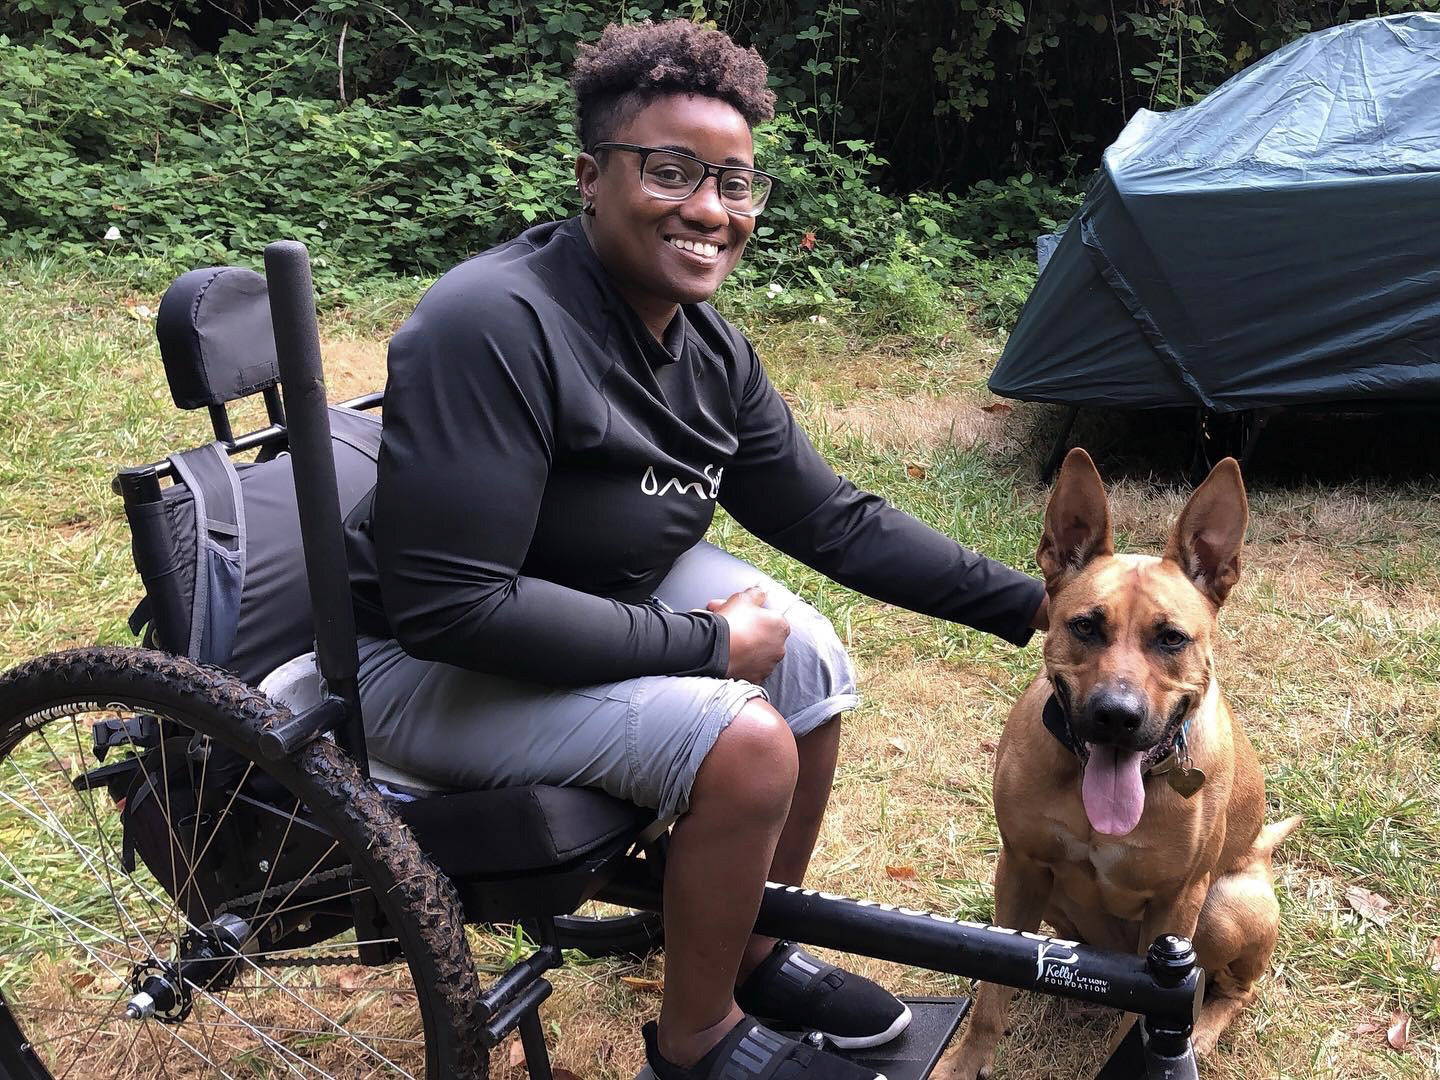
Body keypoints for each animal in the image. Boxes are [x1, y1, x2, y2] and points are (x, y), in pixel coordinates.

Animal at [938, 449, 1301, 1080]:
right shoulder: (1020, 865)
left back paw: (1204, 1031)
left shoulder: (1176, 911)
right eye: (1085, 625)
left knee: (1236, 990)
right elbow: (990, 986)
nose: (1116, 716)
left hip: (1221, 908)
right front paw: (968, 1060)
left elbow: (1143, 1017)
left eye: (1172, 638)